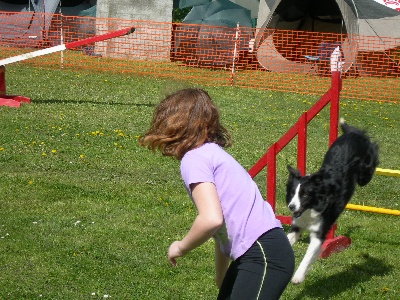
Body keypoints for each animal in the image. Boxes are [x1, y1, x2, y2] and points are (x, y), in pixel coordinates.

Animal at [286, 119, 376, 284]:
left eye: (305, 195)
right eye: (292, 193)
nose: (291, 206)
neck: (311, 209)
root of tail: (352, 133)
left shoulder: (319, 232)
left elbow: (307, 256)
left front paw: (298, 276)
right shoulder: (296, 226)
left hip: (365, 172)